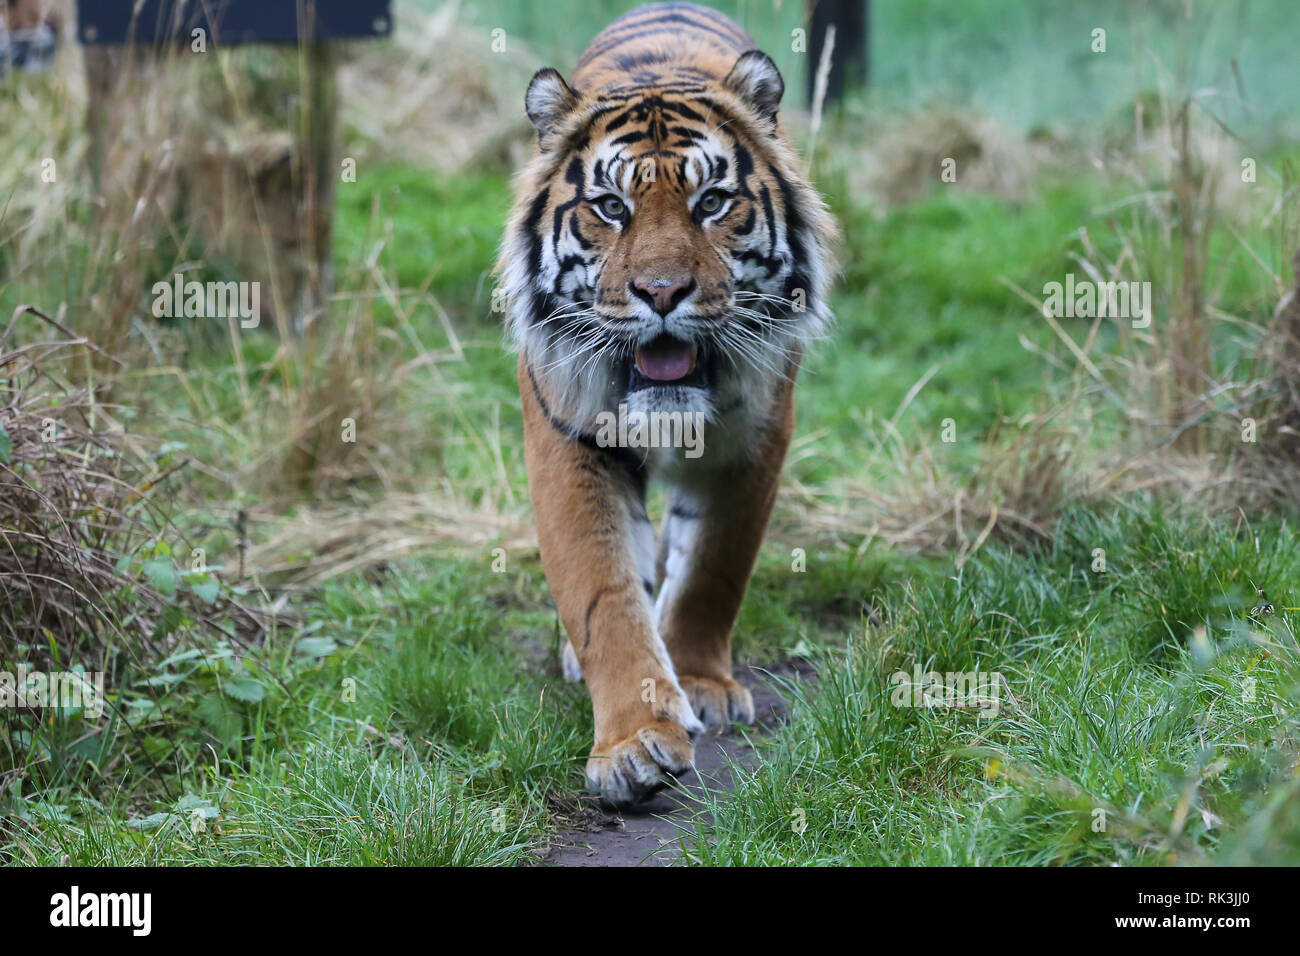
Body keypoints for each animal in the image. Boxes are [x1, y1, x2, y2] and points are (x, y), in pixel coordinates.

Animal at [491, 0, 837, 806]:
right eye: (611, 207)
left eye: (711, 202)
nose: (661, 292)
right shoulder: (569, 439)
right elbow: (603, 593)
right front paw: (635, 744)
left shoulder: (755, 438)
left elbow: (713, 567)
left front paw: (702, 683)